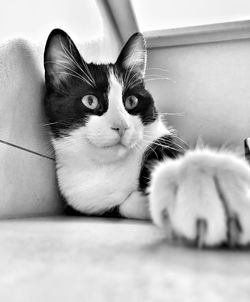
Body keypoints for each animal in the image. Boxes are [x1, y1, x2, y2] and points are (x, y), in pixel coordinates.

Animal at [44, 28, 250, 248]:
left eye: (131, 101)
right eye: (90, 101)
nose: (122, 126)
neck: (109, 167)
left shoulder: (161, 141)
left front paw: (204, 177)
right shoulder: (81, 199)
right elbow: (123, 205)